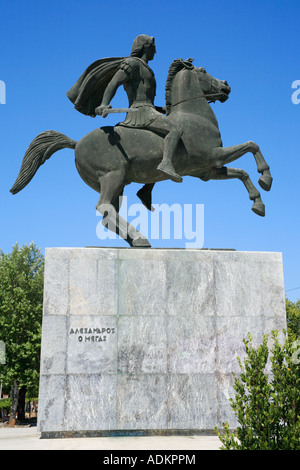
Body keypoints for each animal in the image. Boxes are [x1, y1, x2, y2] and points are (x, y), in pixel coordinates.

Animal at [9, 58, 272, 248]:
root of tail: (77, 143)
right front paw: (266, 178)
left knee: (109, 213)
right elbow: (252, 145)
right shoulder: (214, 155)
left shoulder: (207, 170)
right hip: (112, 176)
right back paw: (139, 237)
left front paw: (258, 203)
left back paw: (137, 239)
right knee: (104, 208)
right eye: (204, 70)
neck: (194, 116)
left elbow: (241, 173)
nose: (226, 86)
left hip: (116, 183)